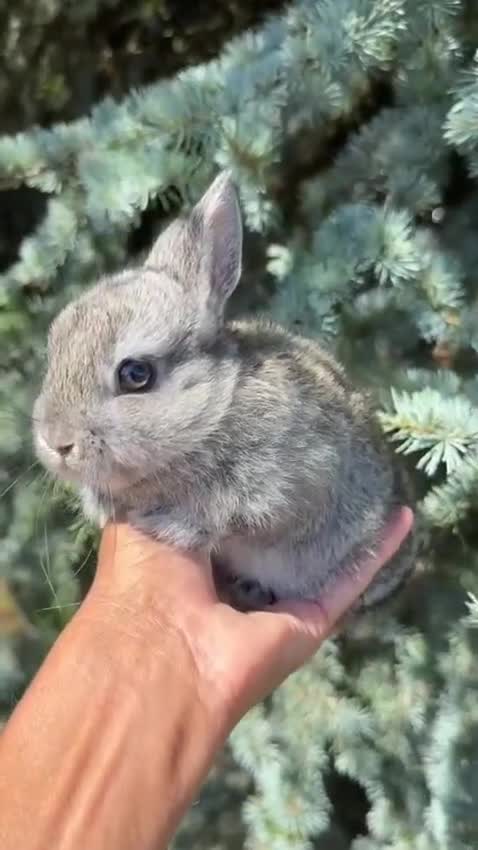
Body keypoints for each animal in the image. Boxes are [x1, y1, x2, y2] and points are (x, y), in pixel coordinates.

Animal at [33, 171, 415, 613]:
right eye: (53, 347)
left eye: (135, 374)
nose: (56, 442)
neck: (214, 409)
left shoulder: (294, 484)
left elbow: (230, 516)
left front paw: (167, 526)